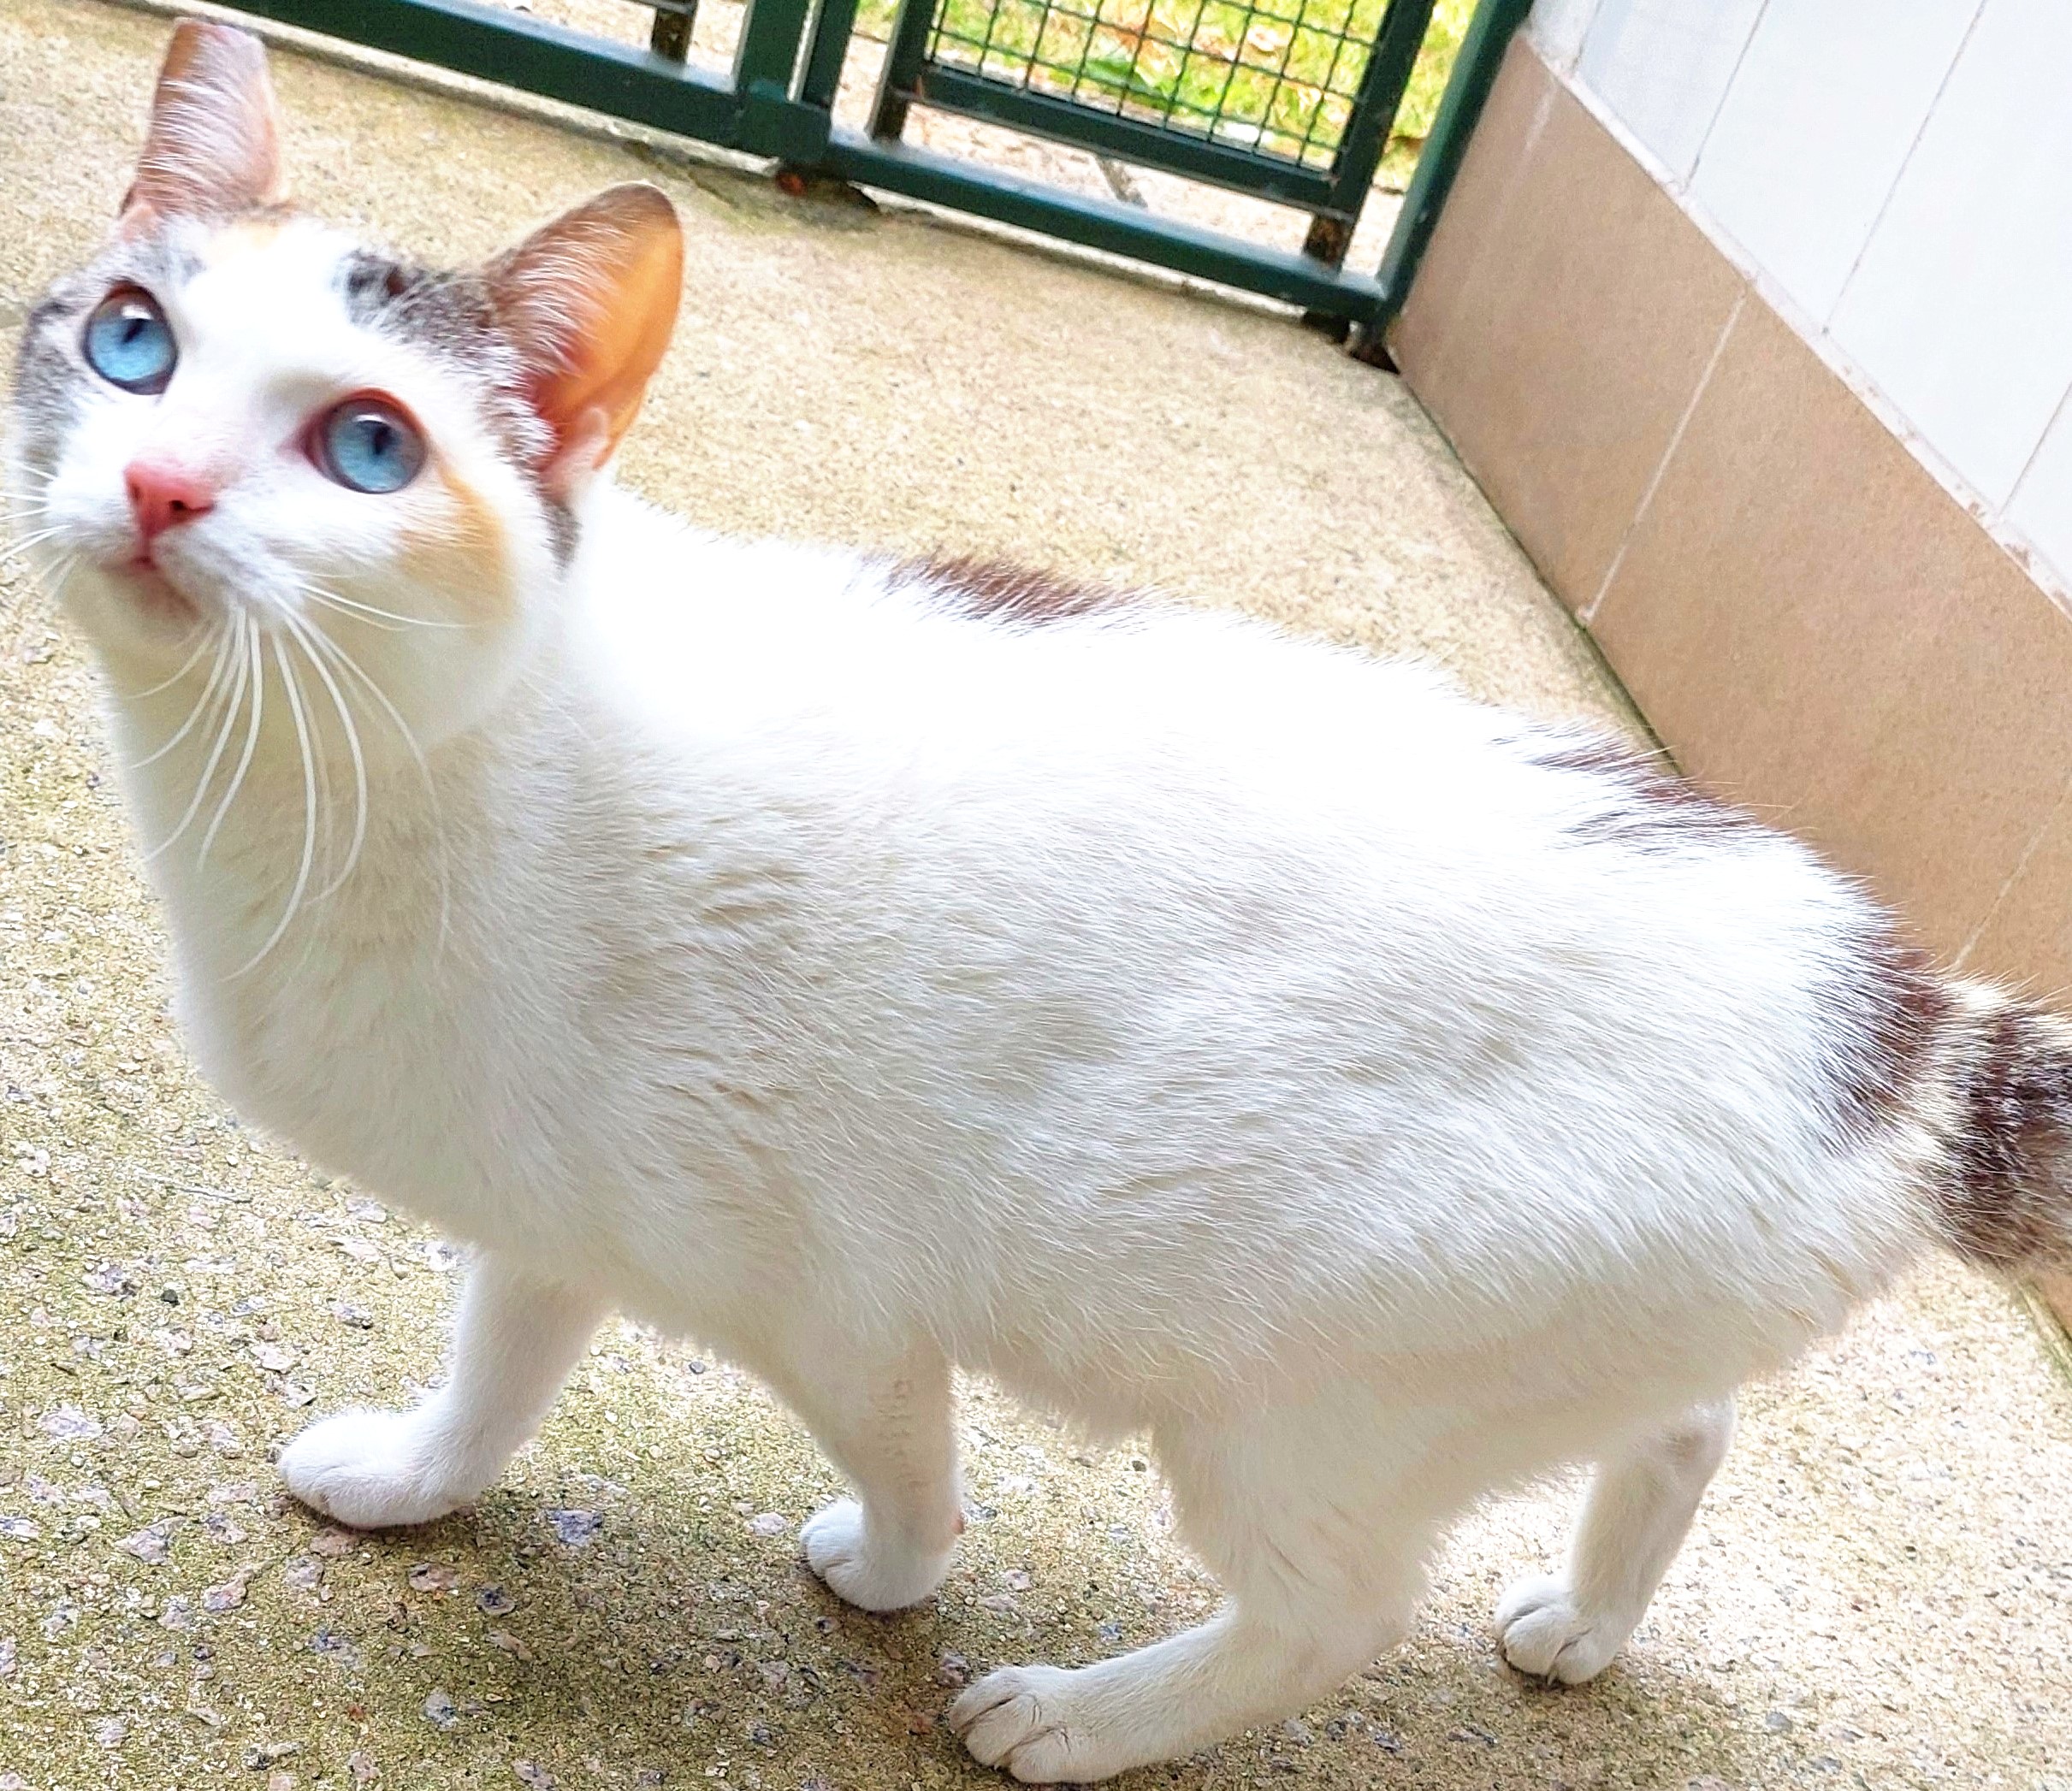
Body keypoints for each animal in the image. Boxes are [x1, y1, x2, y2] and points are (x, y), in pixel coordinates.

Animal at [15, 21, 2072, 1780]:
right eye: (132, 345)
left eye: (367, 447)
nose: (162, 484)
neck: (350, 780)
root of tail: (1905, 1029)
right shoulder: (560, 1210)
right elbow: (496, 1370)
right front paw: (417, 1480)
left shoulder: (832, 1300)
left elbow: (907, 1460)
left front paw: (893, 1571)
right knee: (1687, 1418)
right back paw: (1582, 1621)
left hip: (1288, 1400)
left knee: (1326, 1618)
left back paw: (1082, 1717)